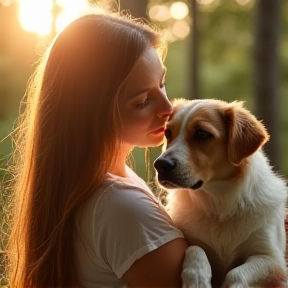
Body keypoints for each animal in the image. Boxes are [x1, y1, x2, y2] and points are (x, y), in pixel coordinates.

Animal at [154, 98, 288, 286]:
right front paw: (197, 278)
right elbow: (195, 247)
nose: (160, 165)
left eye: (202, 134)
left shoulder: (272, 260)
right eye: (168, 133)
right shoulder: (190, 240)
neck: (219, 206)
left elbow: (236, 274)